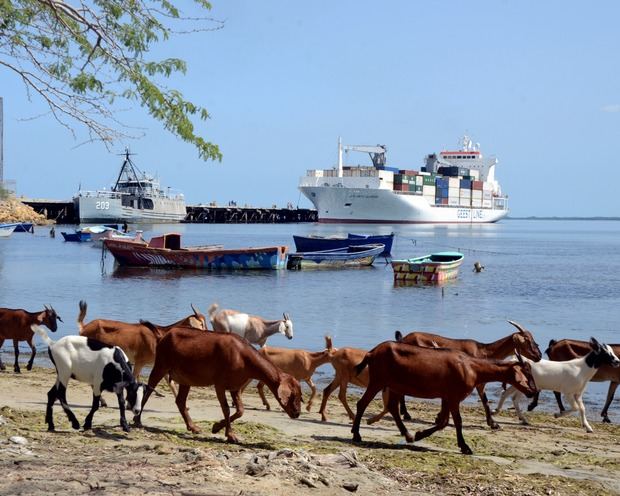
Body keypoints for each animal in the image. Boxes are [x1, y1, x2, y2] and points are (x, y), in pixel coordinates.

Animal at [136, 328, 302, 444]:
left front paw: (216, 427)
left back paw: (193, 427)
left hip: (185, 378)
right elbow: (226, 409)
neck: (242, 356)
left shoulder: (235, 386)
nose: (297, 413)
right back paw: (137, 421)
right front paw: (230, 435)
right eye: (293, 395)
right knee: (148, 391)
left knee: (180, 401)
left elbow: (240, 410)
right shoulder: (220, 384)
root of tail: (163, 336)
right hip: (161, 364)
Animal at [352, 342, 536, 456]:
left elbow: (443, 422)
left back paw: (408, 435)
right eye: (527, 373)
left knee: (392, 407)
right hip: (378, 381)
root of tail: (372, 352)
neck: (472, 368)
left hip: (395, 385)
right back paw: (356, 434)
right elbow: (457, 421)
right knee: (362, 403)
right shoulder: (454, 397)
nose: (532, 392)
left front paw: (419, 434)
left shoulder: (447, 397)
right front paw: (465, 447)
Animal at [394, 320, 540, 428]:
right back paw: (406, 414)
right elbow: (485, 401)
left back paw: (405, 413)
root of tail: (403, 339)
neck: (484, 351)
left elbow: (484, 400)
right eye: (526, 339)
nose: (538, 355)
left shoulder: (479, 382)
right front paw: (493, 424)